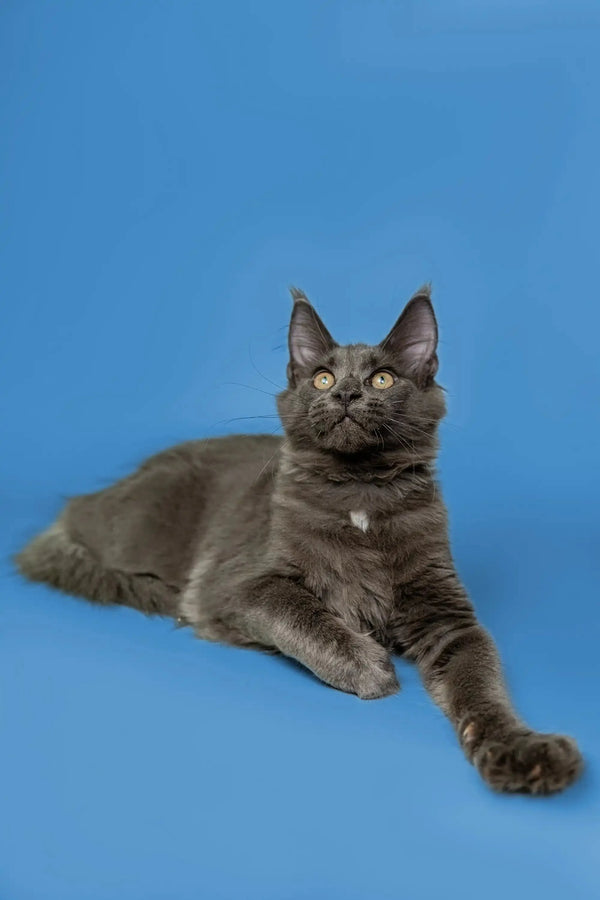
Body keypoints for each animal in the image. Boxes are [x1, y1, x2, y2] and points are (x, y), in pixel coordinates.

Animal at [17, 288, 580, 796]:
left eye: (382, 378)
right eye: (322, 378)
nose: (346, 394)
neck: (359, 496)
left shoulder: (447, 614)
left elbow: (482, 686)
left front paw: (523, 752)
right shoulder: (236, 584)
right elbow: (298, 611)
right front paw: (369, 666)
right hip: (135, 527)